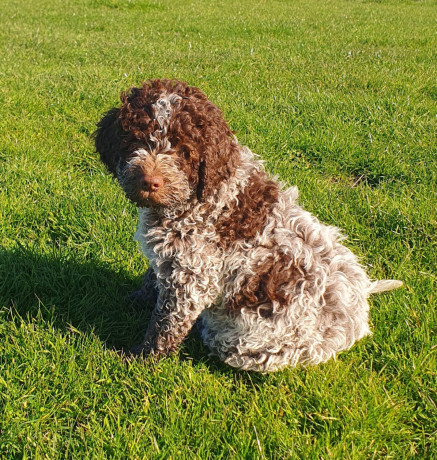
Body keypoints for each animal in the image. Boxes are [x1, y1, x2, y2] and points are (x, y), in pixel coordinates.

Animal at [93, 79, 400, 372]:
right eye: (135, 139)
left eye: (184, 151)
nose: (150, 182)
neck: (197, 197)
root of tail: (359, 306)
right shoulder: (172, 258)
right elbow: (153, 278)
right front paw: (135, 298)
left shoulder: (193, 274)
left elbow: (166, 321)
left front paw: (142, 358)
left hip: (241, 343)